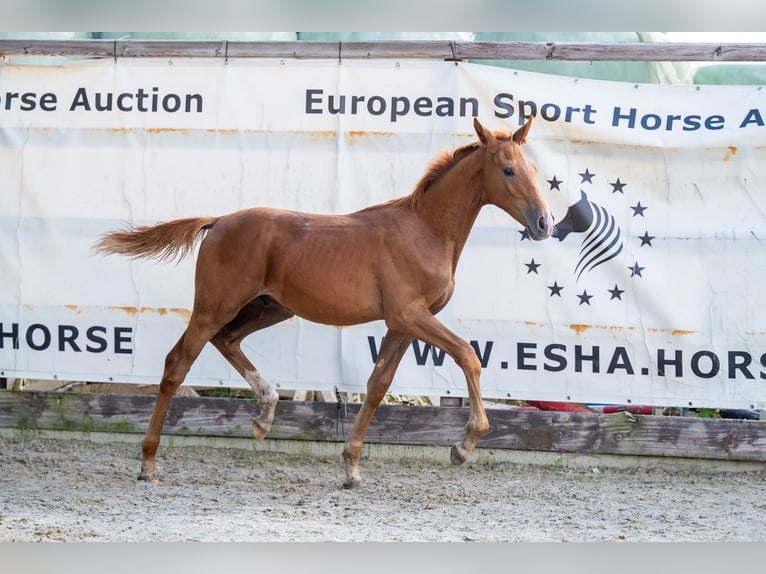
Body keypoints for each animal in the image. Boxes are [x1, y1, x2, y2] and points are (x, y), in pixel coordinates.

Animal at [94, 117, 552, 490]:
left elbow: (377, 384)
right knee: (177, 363)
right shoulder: (410, 314)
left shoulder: (402, 324)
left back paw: (265, 414)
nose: (544, 223)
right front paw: (463, 445)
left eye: (534, 170)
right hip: (214, 306)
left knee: (227, 341)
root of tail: (219, 221)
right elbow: (467, 355)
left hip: (269, 307)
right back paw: (149, 464)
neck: (423, 230)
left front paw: (351, 467)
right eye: (508, 170)